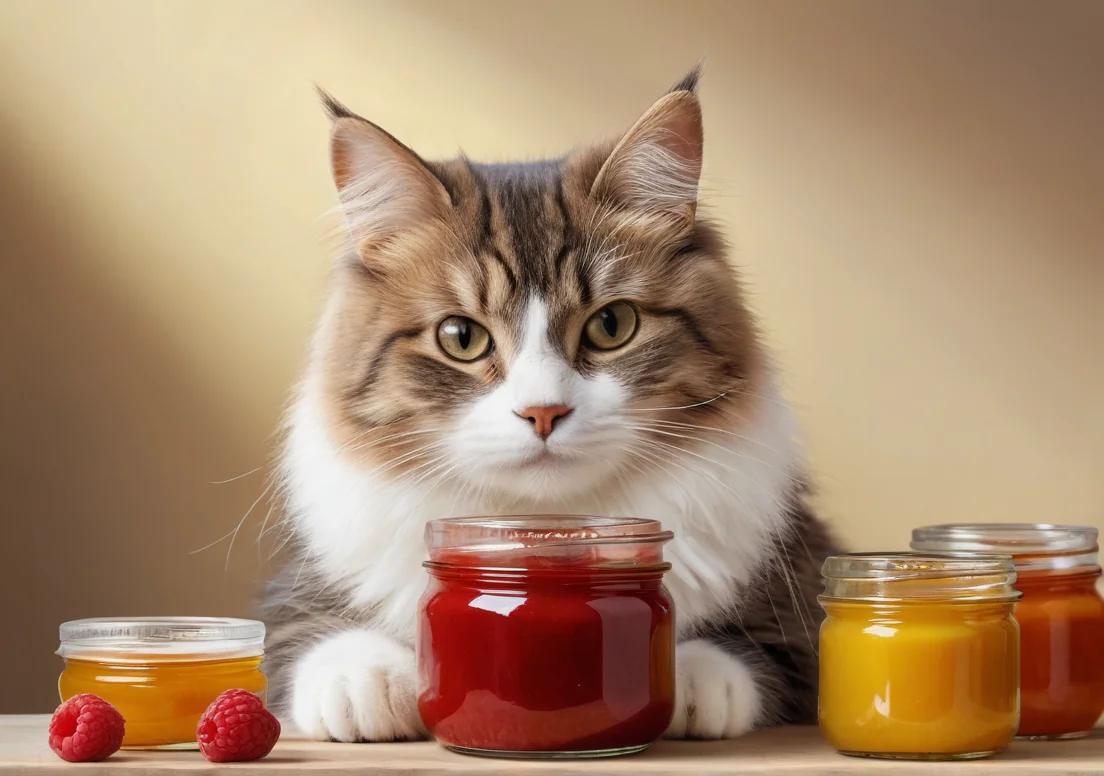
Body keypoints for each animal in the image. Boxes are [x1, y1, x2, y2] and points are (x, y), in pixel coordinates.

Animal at [260, 69, 834, 741]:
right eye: (461, 337)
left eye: (612, 325)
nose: (543, 413)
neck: (543, 534)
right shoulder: (291, 593)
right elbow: (307, 636)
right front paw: (366, 682)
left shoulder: (800, 598)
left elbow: (752, 649)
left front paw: (687, 679)